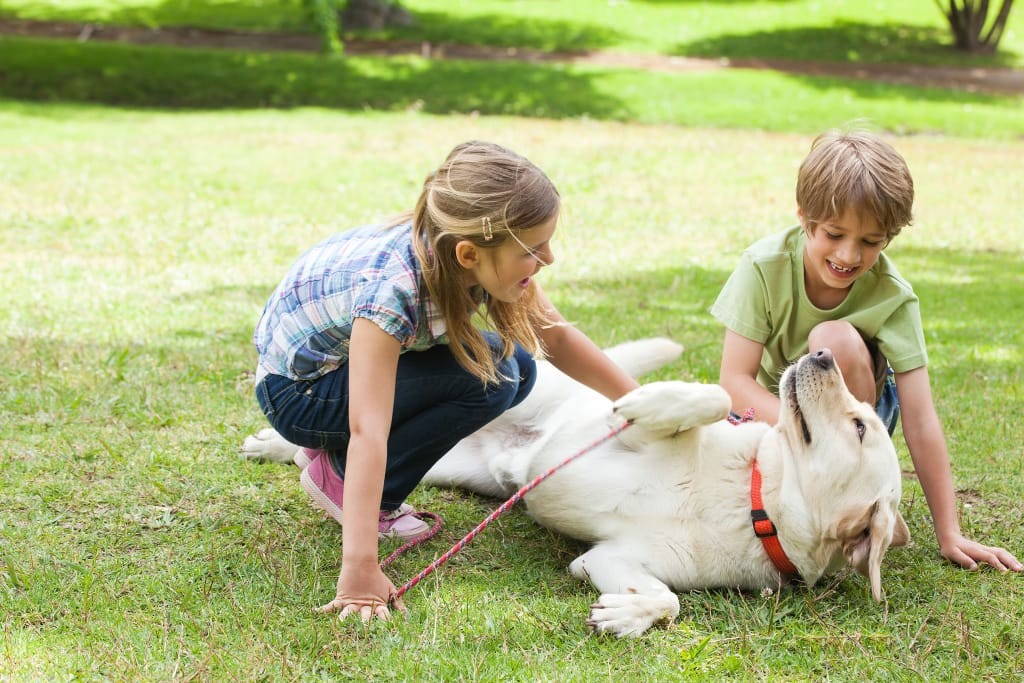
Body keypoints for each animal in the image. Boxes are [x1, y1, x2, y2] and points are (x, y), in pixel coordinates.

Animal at [241, 339, 913, 638]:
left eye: (860, 425)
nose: (822, 354)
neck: (752, 498)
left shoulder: (607, 559)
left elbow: (668, 600)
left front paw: (625, 615)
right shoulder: (614, 431)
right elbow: (711, 396)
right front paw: (656, 400)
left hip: (457, 467)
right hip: (512, 387)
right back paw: (271, 444)